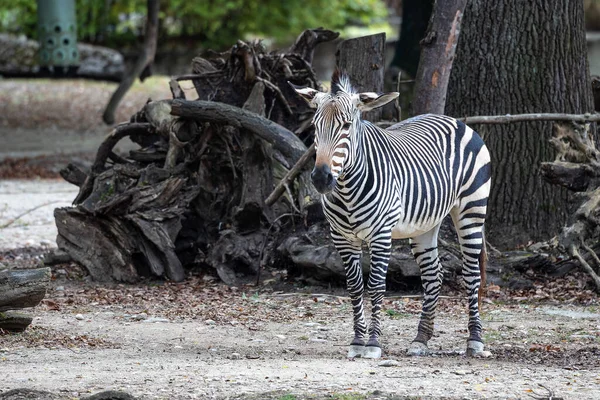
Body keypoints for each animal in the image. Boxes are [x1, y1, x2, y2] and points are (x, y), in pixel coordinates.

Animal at [290, 71, 492, 360]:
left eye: (346, 126)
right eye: (316, 127)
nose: (320, 178)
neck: (347, 190)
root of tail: (455, 120)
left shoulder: (380, 235)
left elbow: (375, 285)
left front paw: (373, 344)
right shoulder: (341, 238)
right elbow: (354, 287)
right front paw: (357, 341)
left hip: (471, 210)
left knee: (472, 274)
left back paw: (475, 341)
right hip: (424, 225)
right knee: (433, 274)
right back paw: (420, 340)